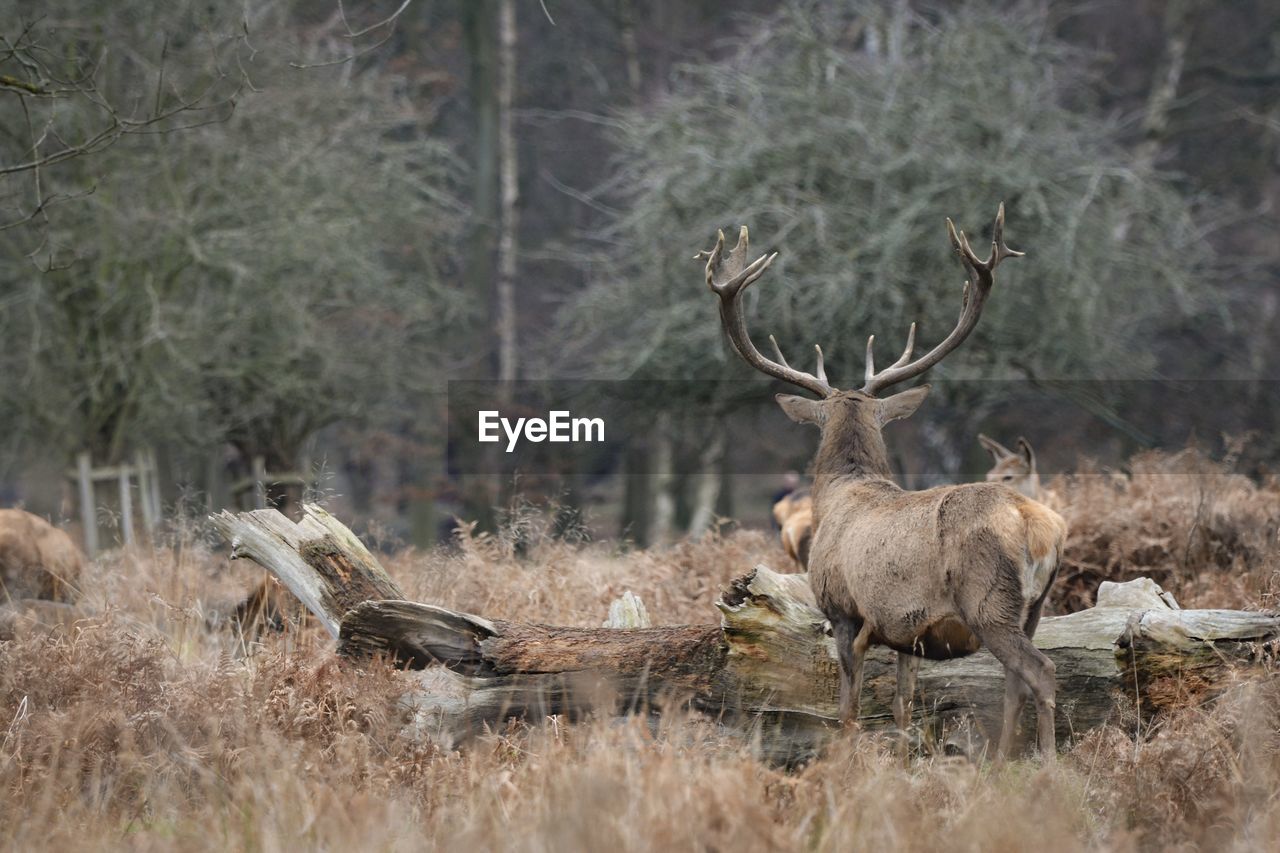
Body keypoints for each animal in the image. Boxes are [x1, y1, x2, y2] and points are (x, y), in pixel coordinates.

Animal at [701, 204, 1070, 758]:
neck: (838, 498)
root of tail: (1037, 523)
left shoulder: (842, 609)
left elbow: (848, 707)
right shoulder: (908, 631)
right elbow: (903, 704)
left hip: (988, 599)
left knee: (1041, 671)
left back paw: (1044, 760)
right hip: (1036, 606)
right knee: (1015, 683)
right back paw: (1003, 758)